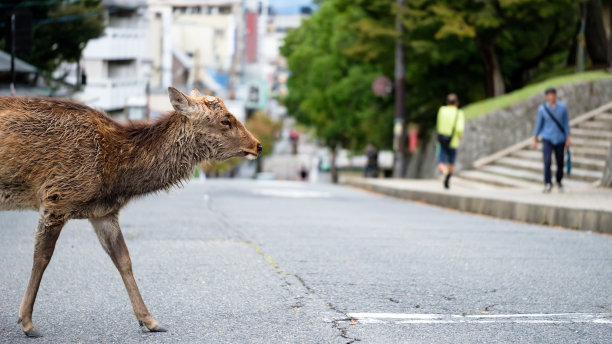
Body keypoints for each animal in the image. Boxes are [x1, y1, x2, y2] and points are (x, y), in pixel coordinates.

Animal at [0, 87, 260, 338]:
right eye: (226, 120)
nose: (258, 145)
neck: (116, 176)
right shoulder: (57, 197)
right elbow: (41, 257)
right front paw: (27, 322)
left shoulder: (103, 212)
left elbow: (123, 259)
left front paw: (151, 321)